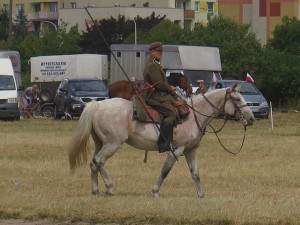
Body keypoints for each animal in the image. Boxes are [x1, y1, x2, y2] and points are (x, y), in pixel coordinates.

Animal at [69, 84, 254, 197]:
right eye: (237, 99)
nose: (251, 118)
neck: (195, 114)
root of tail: (98, 105)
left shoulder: (191, 150)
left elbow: (195, 173)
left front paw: (200, 194)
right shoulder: (177, 150)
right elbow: (165, 171)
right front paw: (155, 191)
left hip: (101, 143)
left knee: (93, 163)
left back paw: (95, 190)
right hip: (112, 144)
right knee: (99, 161)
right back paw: (109, 187)